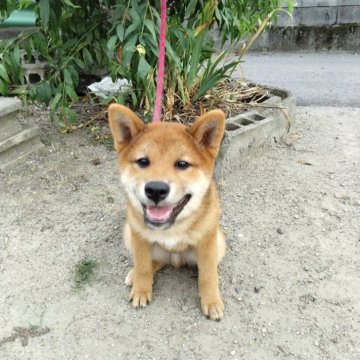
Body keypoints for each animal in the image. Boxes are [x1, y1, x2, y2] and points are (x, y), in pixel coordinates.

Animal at [107, 104, 225, 320]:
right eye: (143, 161)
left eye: (182, 164)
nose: (156, 189)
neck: (173, 227)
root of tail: (174, 258)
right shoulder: (139, 238)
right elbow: (143, 266)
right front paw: (141, 288)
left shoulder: (207, 242)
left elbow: (208, 275)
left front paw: (211, 301)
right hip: (129, 234)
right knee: (154, 262)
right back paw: (134, 274)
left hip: (219, 242)